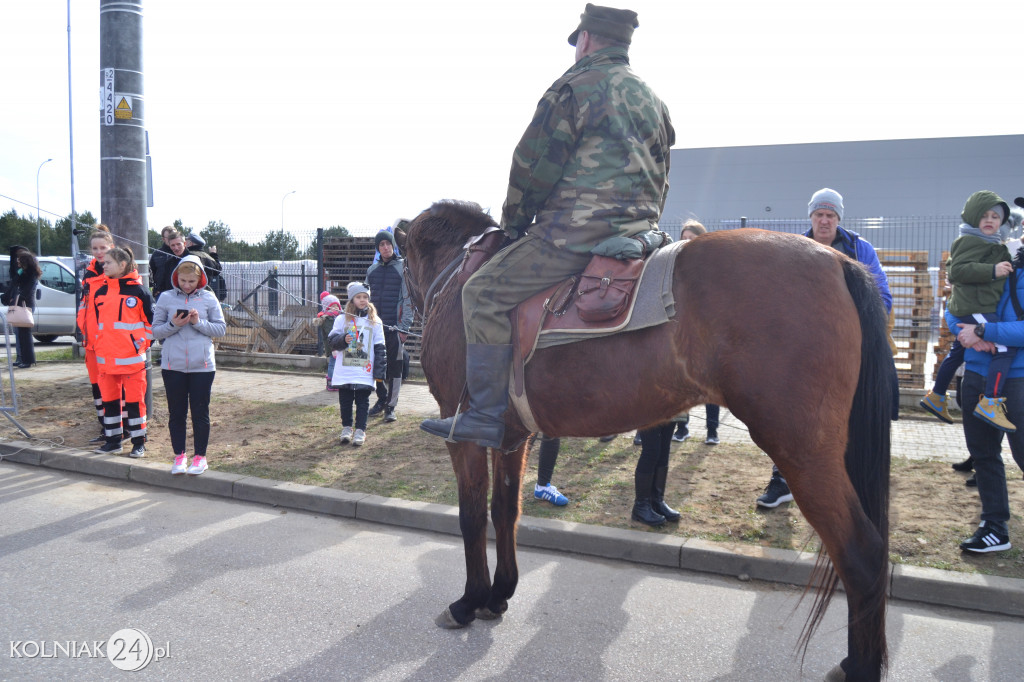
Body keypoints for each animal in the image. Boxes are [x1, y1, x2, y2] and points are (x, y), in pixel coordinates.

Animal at [395, 199, 892, 675]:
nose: (405, 329)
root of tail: (837, 260)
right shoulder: (512, 437)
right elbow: (504, 511)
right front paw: (498, 594)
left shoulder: (462, 432)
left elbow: (471, 515)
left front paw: (469, 600)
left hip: (803, 452)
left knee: (863, 555)